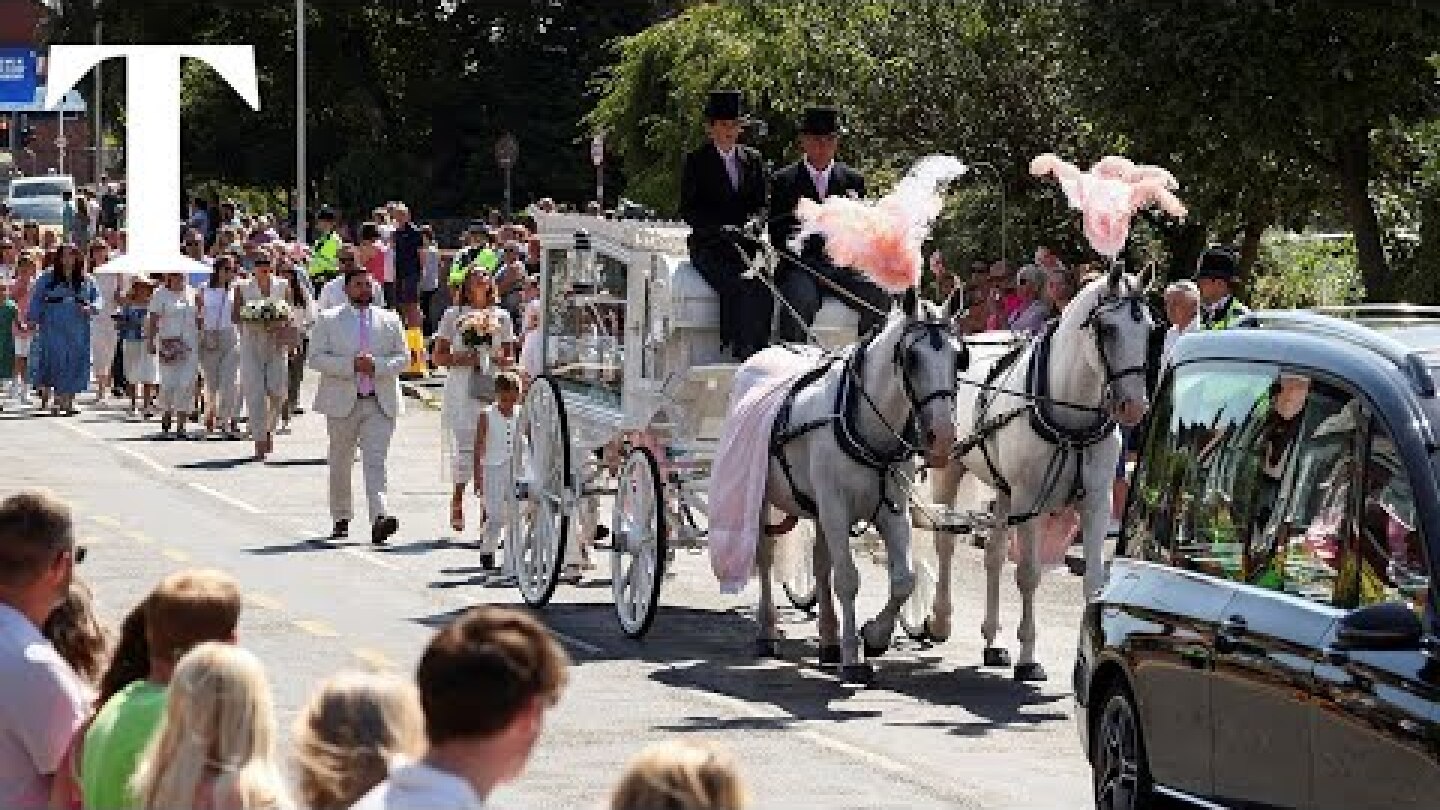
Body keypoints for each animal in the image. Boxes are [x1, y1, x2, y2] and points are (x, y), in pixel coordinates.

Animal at [754, 289, 956, 680]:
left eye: (960, 356)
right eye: (912, 358)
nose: (942, 438)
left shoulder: (892, 510)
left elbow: (904, 579)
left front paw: (874, 636)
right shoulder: (835, 507)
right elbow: (847, 578)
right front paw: (853, 658)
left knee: (820, 565)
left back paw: (828, 640)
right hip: (758, 497)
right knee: (765, 556)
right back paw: (768, 632)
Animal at [927, 268, 1152, 677]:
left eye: (1149, 328)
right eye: (1108, 329)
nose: (1133, 407)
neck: (1069, 412)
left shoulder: (1096, 501)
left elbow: (1094, 580)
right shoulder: (1030, 500)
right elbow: (1029, 575)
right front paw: (1028, 657)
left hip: (1004, 490)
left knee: (994, 556)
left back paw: (991, 640)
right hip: (949, 469)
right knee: (946, 542)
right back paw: (940, 619)